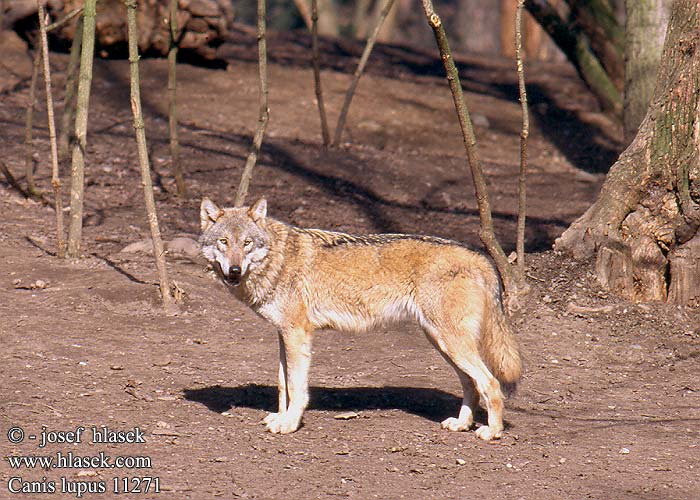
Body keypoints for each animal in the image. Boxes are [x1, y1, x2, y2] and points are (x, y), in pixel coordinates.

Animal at [197, 197, 520, 440]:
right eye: (224, 242)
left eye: (247, 243)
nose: (234, 270)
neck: (278, 258)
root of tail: (480, 256)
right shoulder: (283, 334)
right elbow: (282, 383)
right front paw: (279, 417)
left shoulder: (297, 334)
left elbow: (297, 387)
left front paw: (289, 424)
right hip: (442, 343)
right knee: (471, 385)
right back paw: (461, 424)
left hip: (450, 342)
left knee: (491, 383)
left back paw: (492, 432)